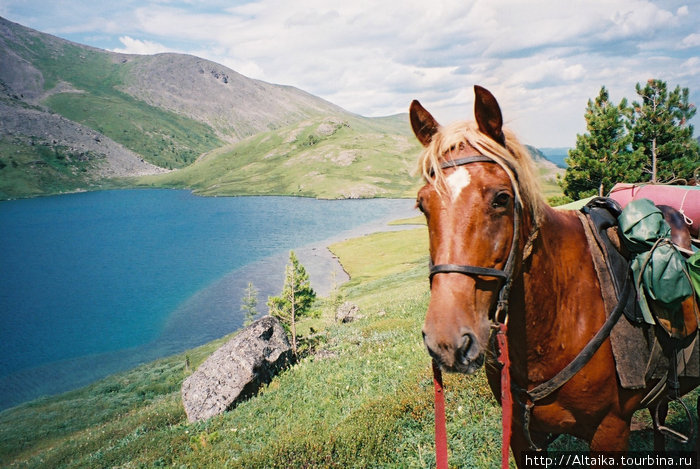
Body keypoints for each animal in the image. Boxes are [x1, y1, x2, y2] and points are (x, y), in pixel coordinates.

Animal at [412, 86, 696, 466]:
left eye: (501, 198)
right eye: (422, 205)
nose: (447, 341)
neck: (560, 314)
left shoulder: (610, 432)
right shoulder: (522, 437)